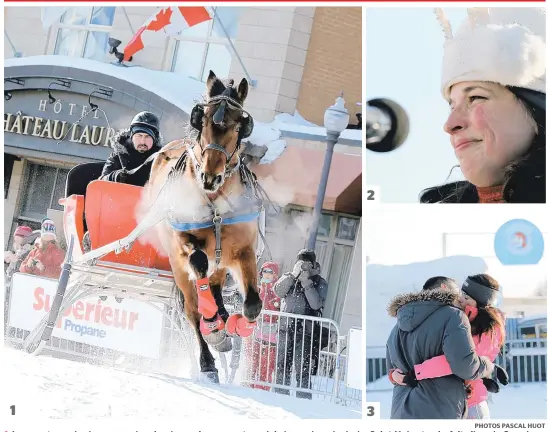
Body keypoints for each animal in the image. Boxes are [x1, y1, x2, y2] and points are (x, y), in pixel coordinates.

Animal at [148, 71, 264, 384]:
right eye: (203, 119)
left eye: (240, 126)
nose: (210, 176)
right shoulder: (183, 242)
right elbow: (199, 267)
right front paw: (214, 327)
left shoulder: (244, 251)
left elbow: (252, 304)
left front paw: (236, 325)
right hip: (177, 265)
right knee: (191, 308)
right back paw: (209, 356)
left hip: (221, 260)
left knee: (216, 285)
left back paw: (224, 318)